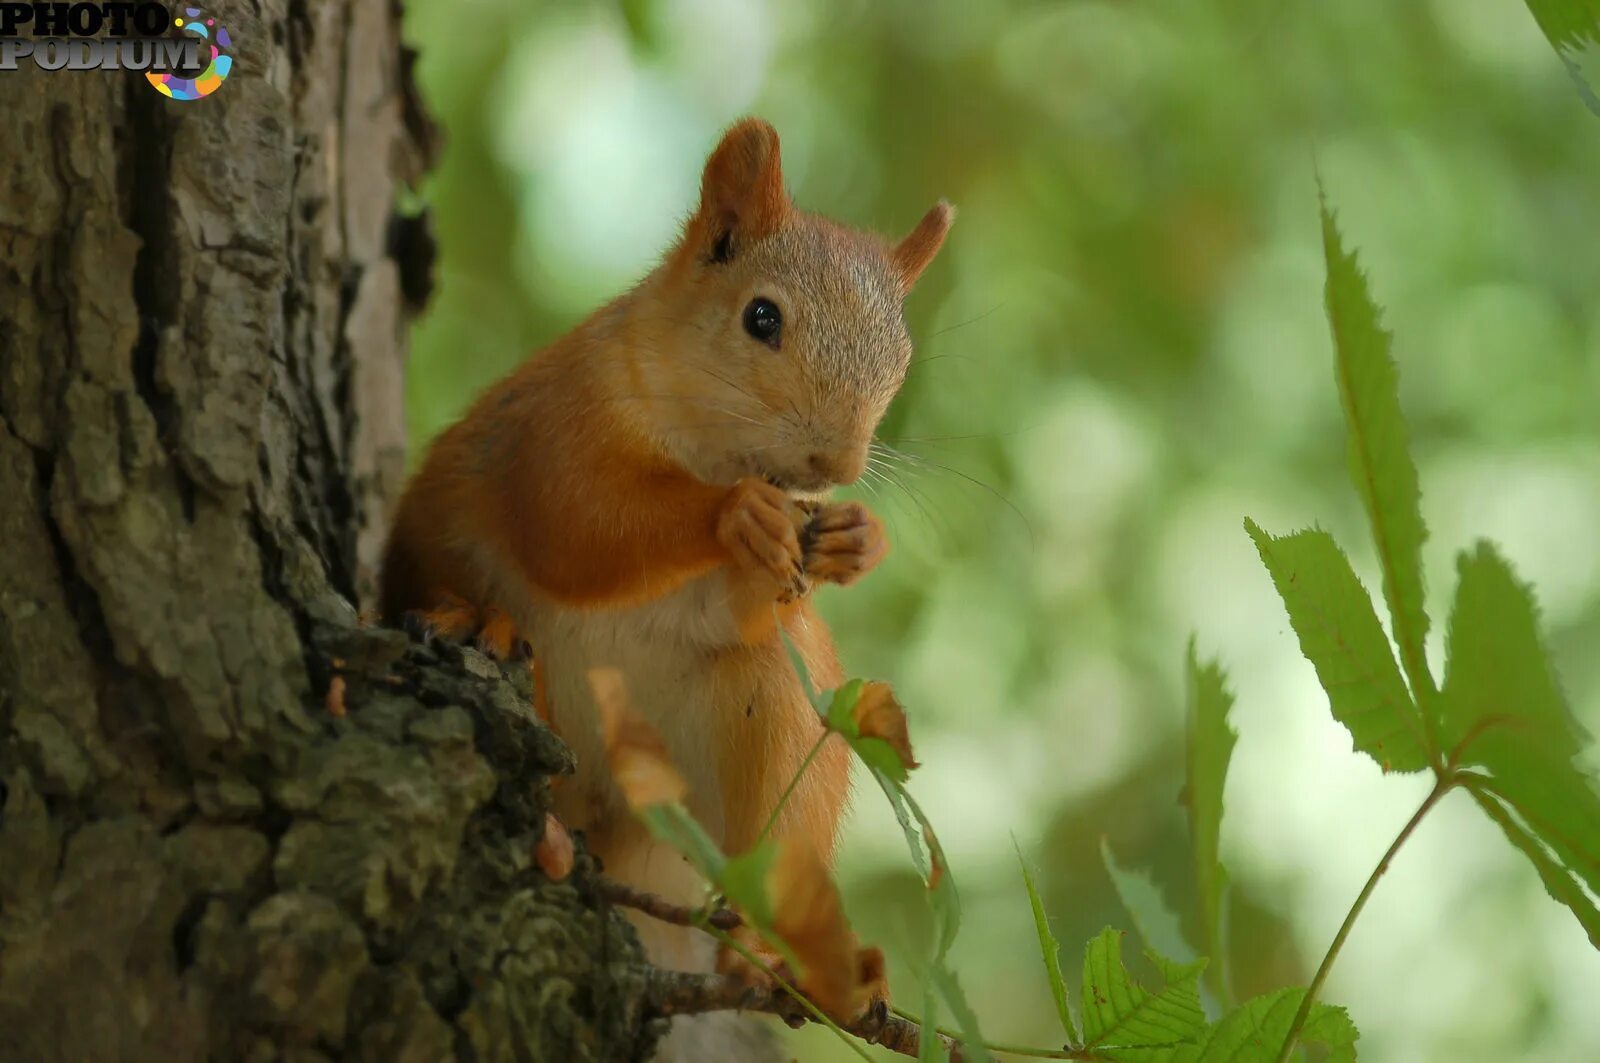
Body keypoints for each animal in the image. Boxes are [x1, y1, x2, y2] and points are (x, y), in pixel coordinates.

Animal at [377, 118, 947, 1024]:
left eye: (900, 355)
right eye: (760, 316)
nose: (837, 463)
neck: (705, 452)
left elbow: (747, 609)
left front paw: (857, 541)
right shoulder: (558, 428)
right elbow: (582, 526)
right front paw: (737, 514)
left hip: (761, 736)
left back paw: (779, 955)